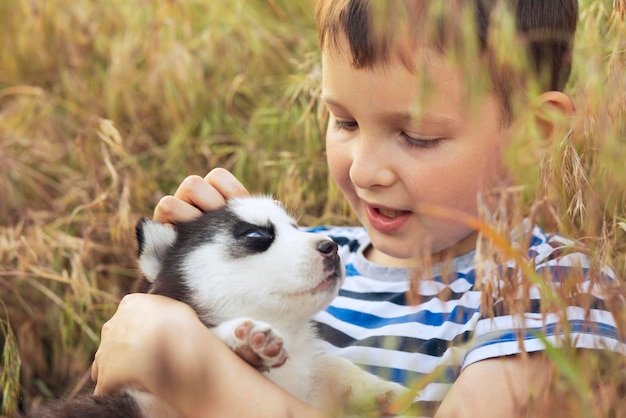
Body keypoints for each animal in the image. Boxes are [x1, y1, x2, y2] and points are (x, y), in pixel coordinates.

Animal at [33, 197, 404, 418]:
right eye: (256, 236)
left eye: (297, 228)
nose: (332, 247)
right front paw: (244, 340)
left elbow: (332, 365)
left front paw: (382, 389)